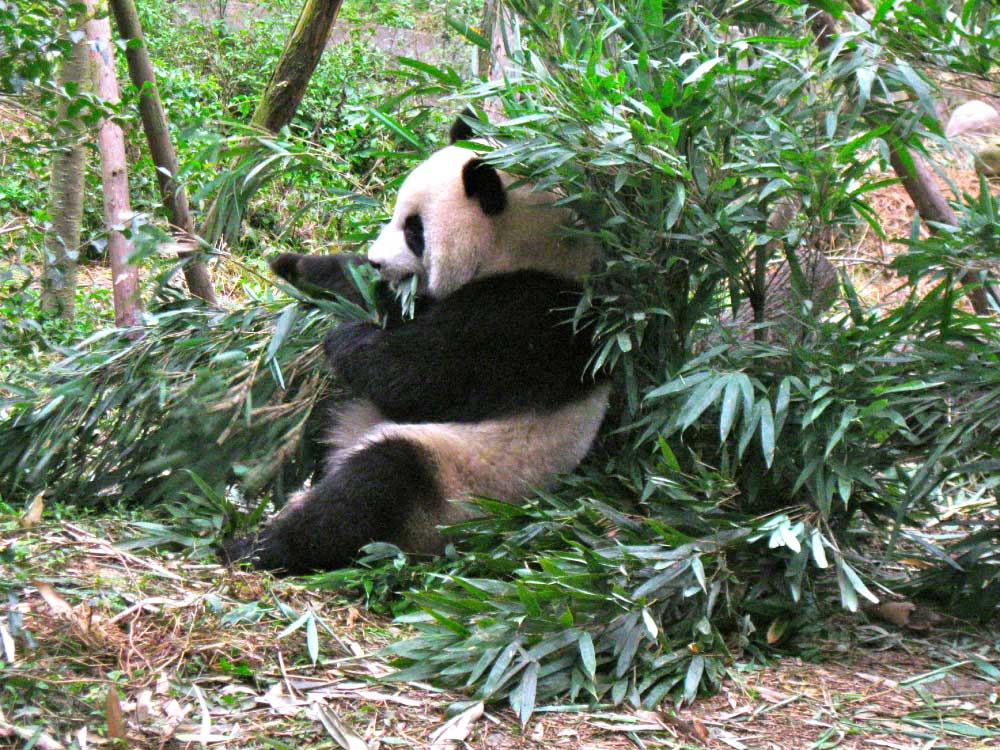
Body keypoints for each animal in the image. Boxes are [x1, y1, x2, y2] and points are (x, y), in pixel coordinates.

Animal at [228, 115, 610, 573]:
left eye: (414, 230)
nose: (376, 260)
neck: (537, 250)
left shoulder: (526, 317)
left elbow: (418, 376)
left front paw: (342, 337)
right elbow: (379, 299)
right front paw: (294, 264)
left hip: (452, 486)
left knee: (374, 484)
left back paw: (259, 546)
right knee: (321, 426)